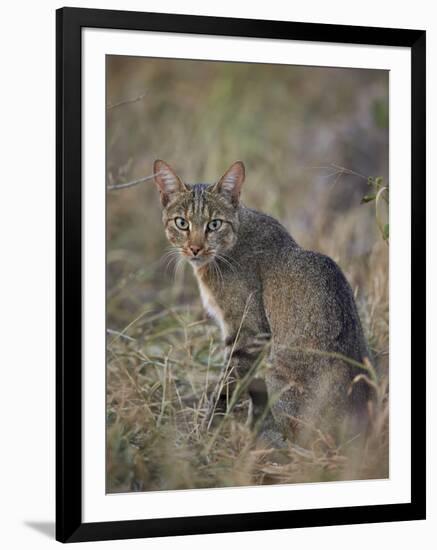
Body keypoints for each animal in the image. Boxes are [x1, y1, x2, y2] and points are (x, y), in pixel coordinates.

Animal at [155, 160, 370, 448]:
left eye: (214, 224)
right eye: (181, 223)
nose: (195, 248)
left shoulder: (248, 333)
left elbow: (225, 389)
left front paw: (206, 433)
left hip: (278, 372)